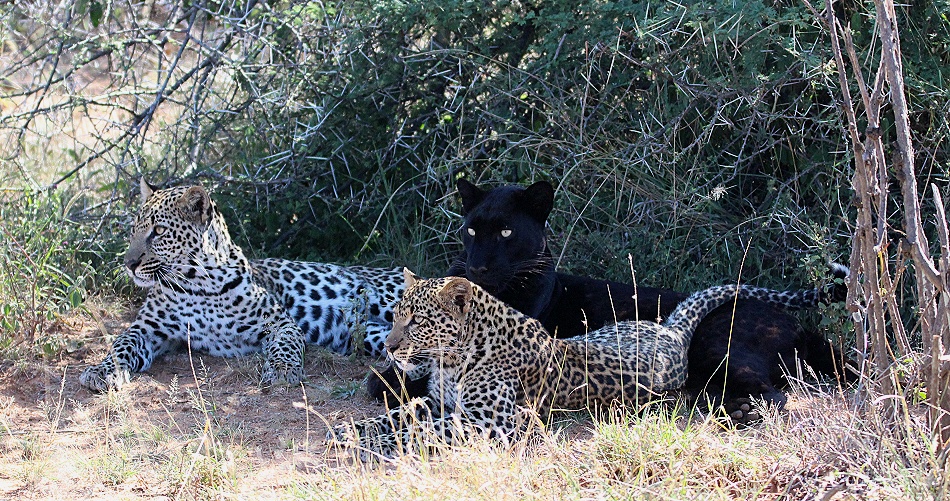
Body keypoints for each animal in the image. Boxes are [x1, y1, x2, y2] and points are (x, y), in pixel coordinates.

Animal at [79, 180, 403, 392]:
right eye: (134, 230)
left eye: (158, 231)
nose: (129, 263)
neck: (197, 283)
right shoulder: (147, 330)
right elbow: (120, 345)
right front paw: (101, 371)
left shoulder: (280, 323)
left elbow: (285, 345)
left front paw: (282, 371)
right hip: (373, 336)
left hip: (389, 301)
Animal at [333, 269, 842, 459]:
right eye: (394, 315)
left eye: (415, 321)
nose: (390, 348)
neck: (451, 360)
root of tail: (671, 331)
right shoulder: (441, 402)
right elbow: (403, 415)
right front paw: (353, 430)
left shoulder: (488, 421)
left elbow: (421, 429)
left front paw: (370, 443)